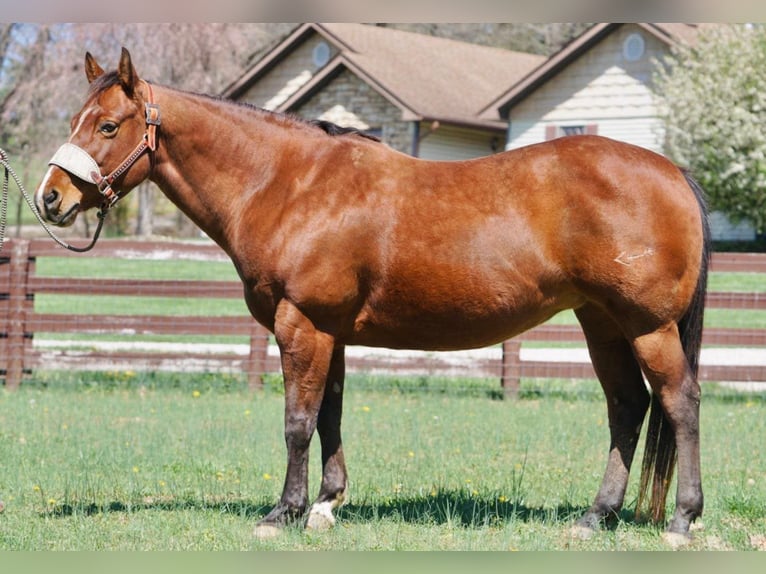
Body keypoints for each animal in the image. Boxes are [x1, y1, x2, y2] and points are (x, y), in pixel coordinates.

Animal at [35, 48, 710, 544]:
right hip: (601, 322)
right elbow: (330, 415)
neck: (289, 185)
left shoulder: (302, 325)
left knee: (678, 403)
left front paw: (282, 514)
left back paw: (682, 520)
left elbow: (298, 422)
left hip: (647, 326)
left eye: (108, 125)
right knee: (627, 406)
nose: (49, 198)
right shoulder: (330, 333)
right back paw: (595, 517)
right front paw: (326, 506)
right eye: (73, 123)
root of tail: (671, 172)